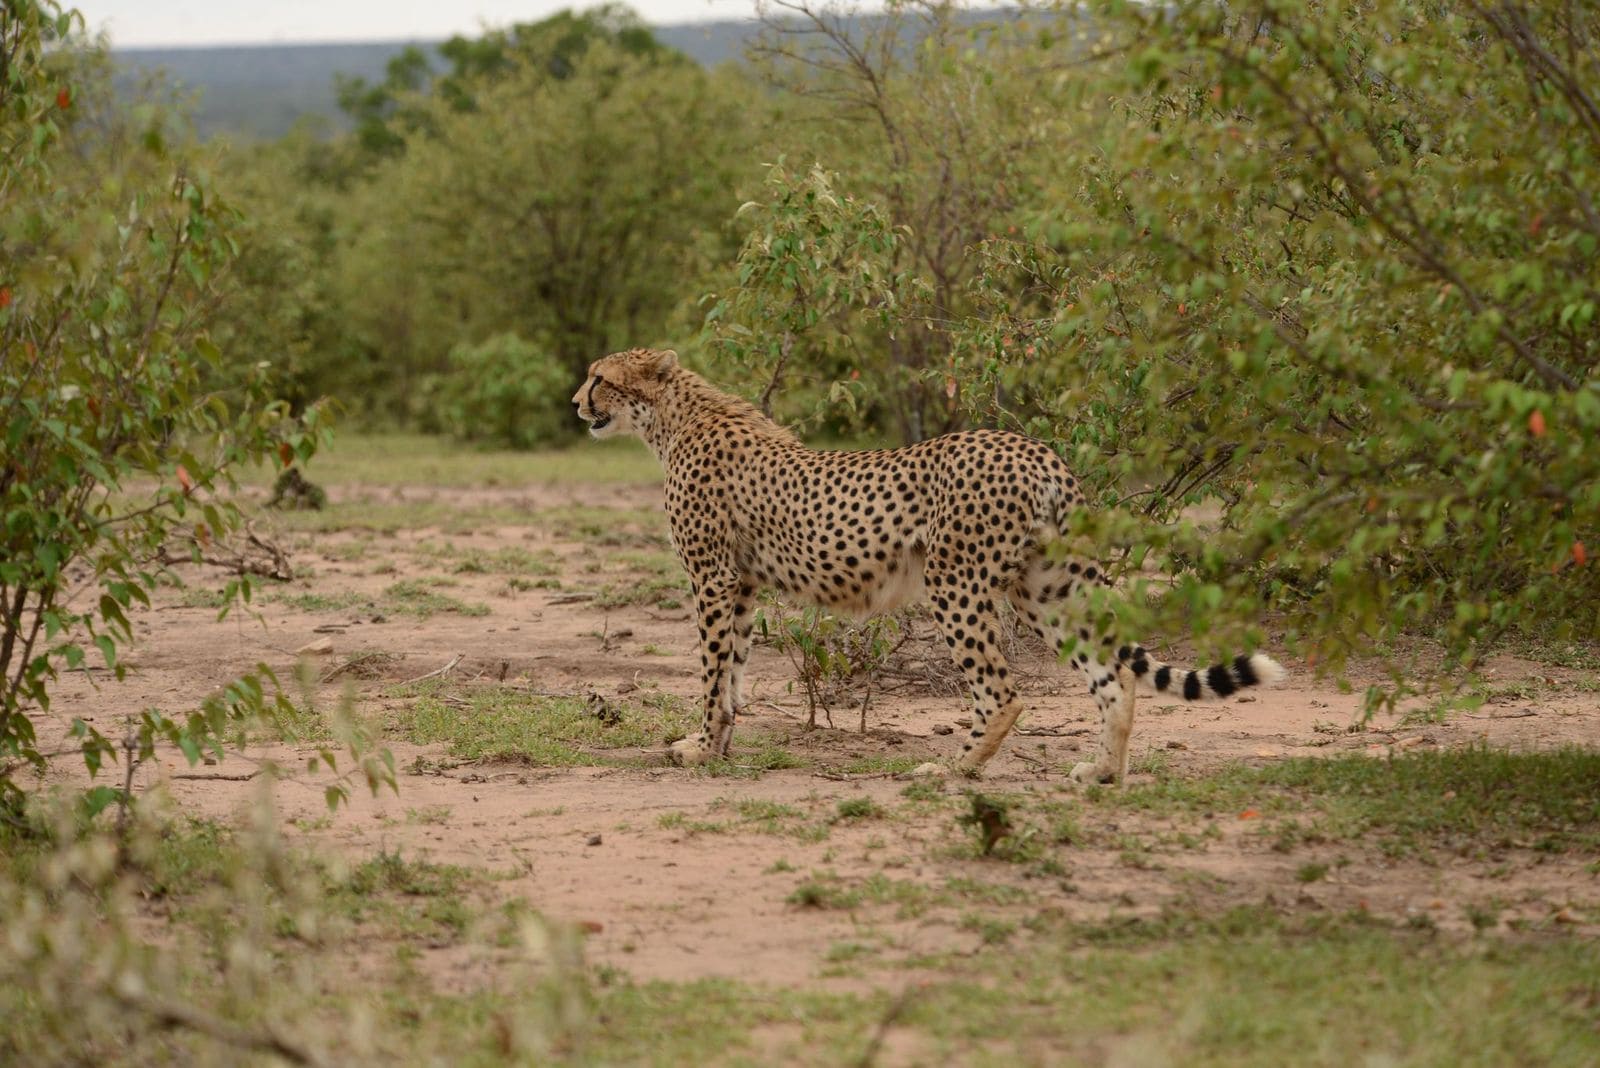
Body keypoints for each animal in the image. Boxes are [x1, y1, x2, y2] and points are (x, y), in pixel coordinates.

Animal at [569, 350, 1280, 783]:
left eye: (600, 378)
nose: (576, 403)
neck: (673, 421)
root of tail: (1035, 449)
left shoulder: (712, 579)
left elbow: (713, 673)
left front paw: (698, 747)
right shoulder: (740, 585)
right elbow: (735, 673)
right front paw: (717, 747)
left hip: (955, 582)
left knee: (1002, 689)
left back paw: (954, 770)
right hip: (1043, 589)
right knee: (1114, 677)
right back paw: (1102, 772)